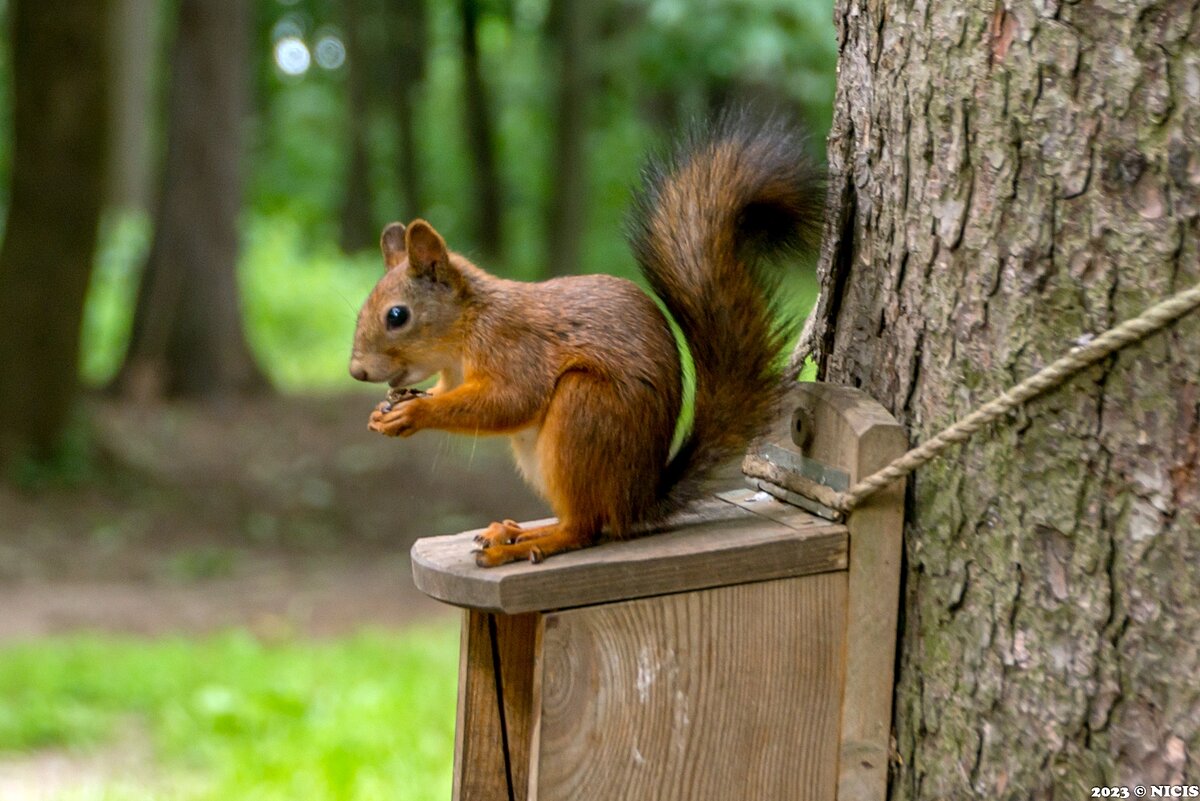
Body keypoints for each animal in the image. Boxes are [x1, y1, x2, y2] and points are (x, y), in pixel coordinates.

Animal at [348, 113, 825, 568]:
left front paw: (415, 412)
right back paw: (513, 531)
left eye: (397, 316)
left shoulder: (512, 347)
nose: (357, 371)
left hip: (584, 411)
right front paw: (382, 413)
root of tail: (637, 501)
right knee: (584, 520)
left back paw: (526, 545)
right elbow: (450, 392)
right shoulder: (452, 375)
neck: (464, 333)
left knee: (585, 528)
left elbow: (511, 401)